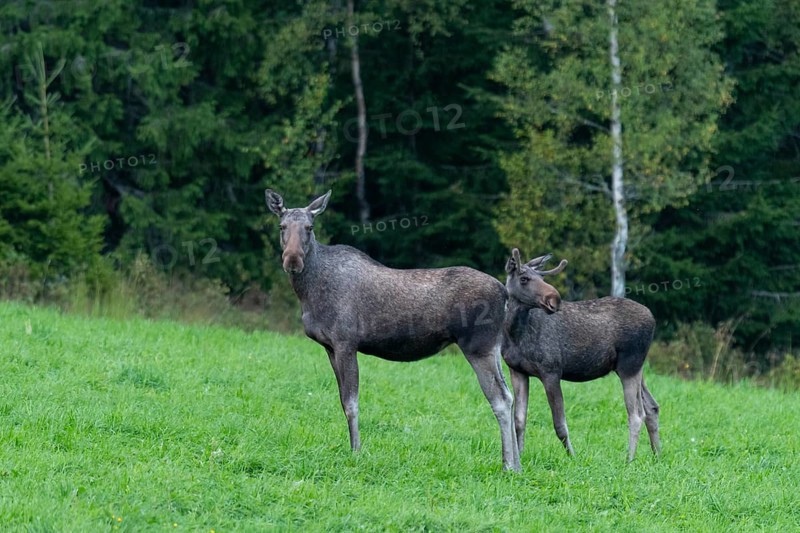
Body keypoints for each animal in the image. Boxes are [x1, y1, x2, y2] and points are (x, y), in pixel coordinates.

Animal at [264, 189, 520, 471]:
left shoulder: (346, 343)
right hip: (494, 348)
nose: (292, 260)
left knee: (499, 399)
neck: (308, 293)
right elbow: (342, 401)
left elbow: (352, 403)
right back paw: (518, 465)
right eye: (281, 226)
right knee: (510, 396)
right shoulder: (329, 348)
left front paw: (356, 452)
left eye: (309, 227)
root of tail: (505, 293)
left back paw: (508, 466)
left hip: (478, 347)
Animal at [502, 249, 660, 463]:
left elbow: (559, 424)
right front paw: (520, 455)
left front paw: (573, 456)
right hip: (633, 368)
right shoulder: (517, 370)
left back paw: (629, 459)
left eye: (542, 277)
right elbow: (519, 420)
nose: (555, 299)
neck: (514, 333)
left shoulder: (551, 370)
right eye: (524, 278)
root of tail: (653, 319)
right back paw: (657, 455)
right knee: (652, 407)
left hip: (630, 365)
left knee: (636, 413)